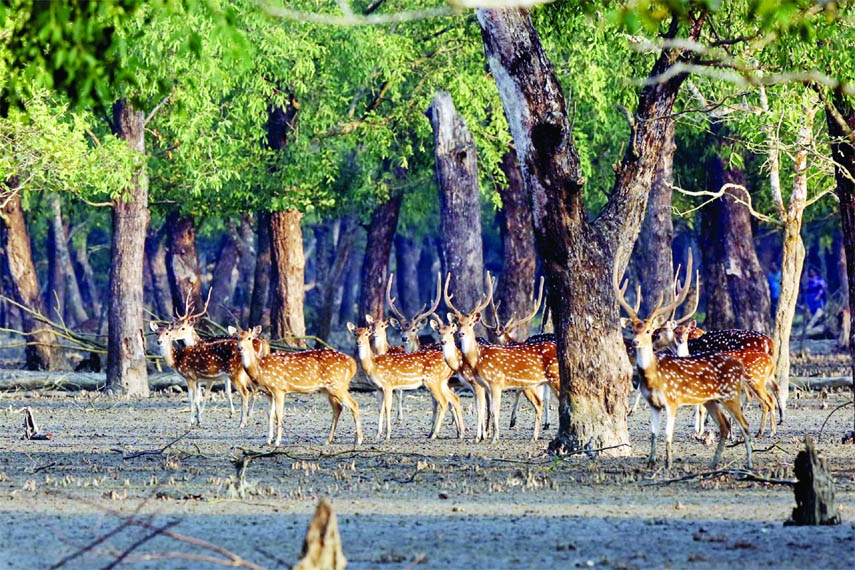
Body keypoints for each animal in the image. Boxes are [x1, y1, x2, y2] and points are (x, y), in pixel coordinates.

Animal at [231, 322, 362, 446]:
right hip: (327, 389)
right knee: (338, 407)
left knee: (354, 404)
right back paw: (328, 440)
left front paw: (277, 442)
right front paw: (268, 440)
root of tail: (353, 364)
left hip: (338, 385)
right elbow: (270, 414)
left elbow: (279, 414)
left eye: (249, 338)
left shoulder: (279, 388)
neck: (259, 368)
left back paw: (359, 440)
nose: (240, 348)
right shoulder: (268, 392)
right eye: (237, 337)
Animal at [448, 272, 560, 442]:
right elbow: (486, 408)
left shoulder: (498, 382)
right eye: (458, 323)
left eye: (470, 324)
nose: (460, 334)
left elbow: (495, 409)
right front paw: (482, 436)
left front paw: (495, 435)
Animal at [620, 251, 752, 468]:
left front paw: (668, 463)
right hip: (713, 400)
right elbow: (654, 433)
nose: (635, 343)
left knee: (745, 423)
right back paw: (714, 462)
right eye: (633, 329)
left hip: (730, 395)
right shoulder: (655, 405)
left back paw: (748, 462)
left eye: (651, 331)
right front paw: (651, 462)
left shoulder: (672, 401)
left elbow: (668, 434)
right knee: (725, 424)